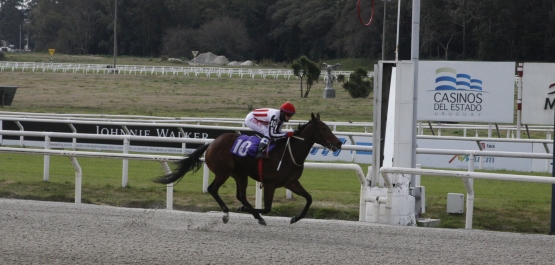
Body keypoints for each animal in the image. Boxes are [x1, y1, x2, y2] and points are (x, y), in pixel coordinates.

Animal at [153, 112, 344, 224]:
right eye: (323, 128)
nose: (338, 143)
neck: (291, 152)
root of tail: (212, 142)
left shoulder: (291, 182)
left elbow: (309, 199)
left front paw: (296, 217)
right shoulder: (270, 183)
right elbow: (268, 208)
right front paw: (243, 210)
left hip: (240, 174)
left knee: (241, 195)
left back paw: (255, 216)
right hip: (224, 171)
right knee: (213, 189)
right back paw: (227, 214)